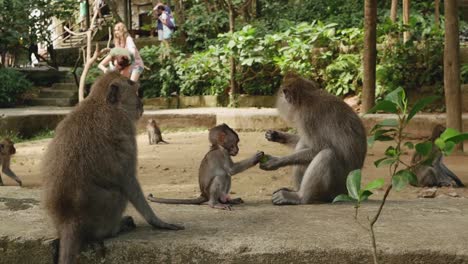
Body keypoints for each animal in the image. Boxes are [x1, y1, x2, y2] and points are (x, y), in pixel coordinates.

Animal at [43, 71, 183, 264]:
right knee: (119, 193)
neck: (101, 102)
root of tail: (69, 219)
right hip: (105, 214)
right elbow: (128, 180)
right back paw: (117, 227)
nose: (141, 104)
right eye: (134, 91)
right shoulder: (125, 128)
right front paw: (156, 221)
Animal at [262, 72, 368, 206]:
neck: (307, 97)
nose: (281, 96)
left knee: (326, 155)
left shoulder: (306, 118)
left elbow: (318, 148)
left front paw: (276, 161)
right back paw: (296, 191)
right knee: (304, 144)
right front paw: (277, 136)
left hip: (336, 187)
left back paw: (300, 197)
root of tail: (348, 192)